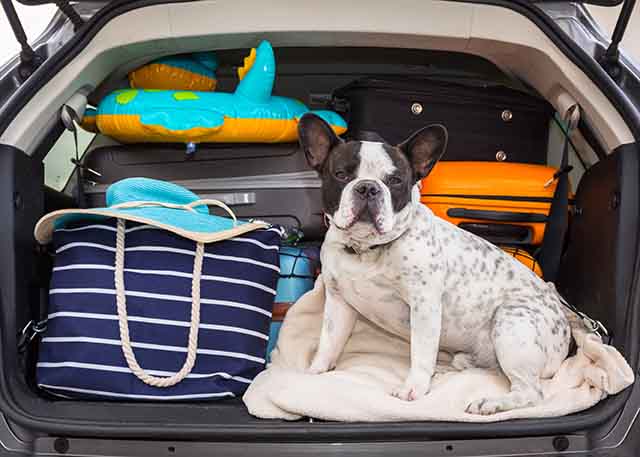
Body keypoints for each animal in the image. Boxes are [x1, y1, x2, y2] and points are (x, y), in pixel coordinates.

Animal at [298, 113, 572, 414]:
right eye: (341, 175)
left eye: (396, 180)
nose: (368, 187)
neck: (366, 249)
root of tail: (566, 334)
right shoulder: (339, 303)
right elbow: (329, 341)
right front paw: (315, 372)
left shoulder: (424, 305)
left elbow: (421, 351)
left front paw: (413, 388)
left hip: (510, 324)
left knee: (530, 392)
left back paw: (490, 402)